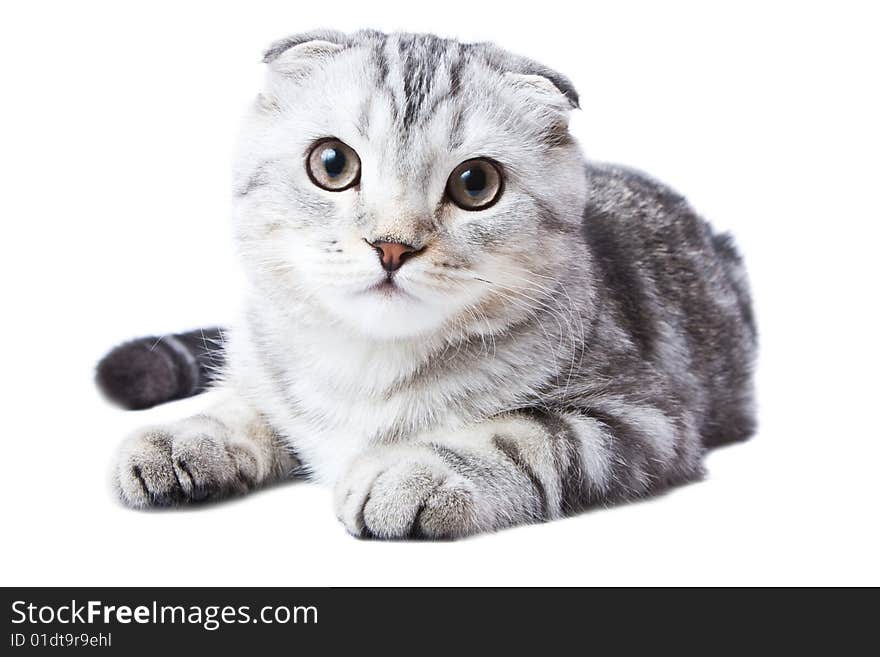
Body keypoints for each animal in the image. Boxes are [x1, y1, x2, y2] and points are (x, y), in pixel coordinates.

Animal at [98, 29, 756, 540]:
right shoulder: (265, 363)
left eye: (475, 183)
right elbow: (247, 403)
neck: (367, 367)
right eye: (332, 164)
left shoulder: (643, 416)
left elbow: (524, 435)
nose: (392, 245)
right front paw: (189, 437)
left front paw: (415, 472)